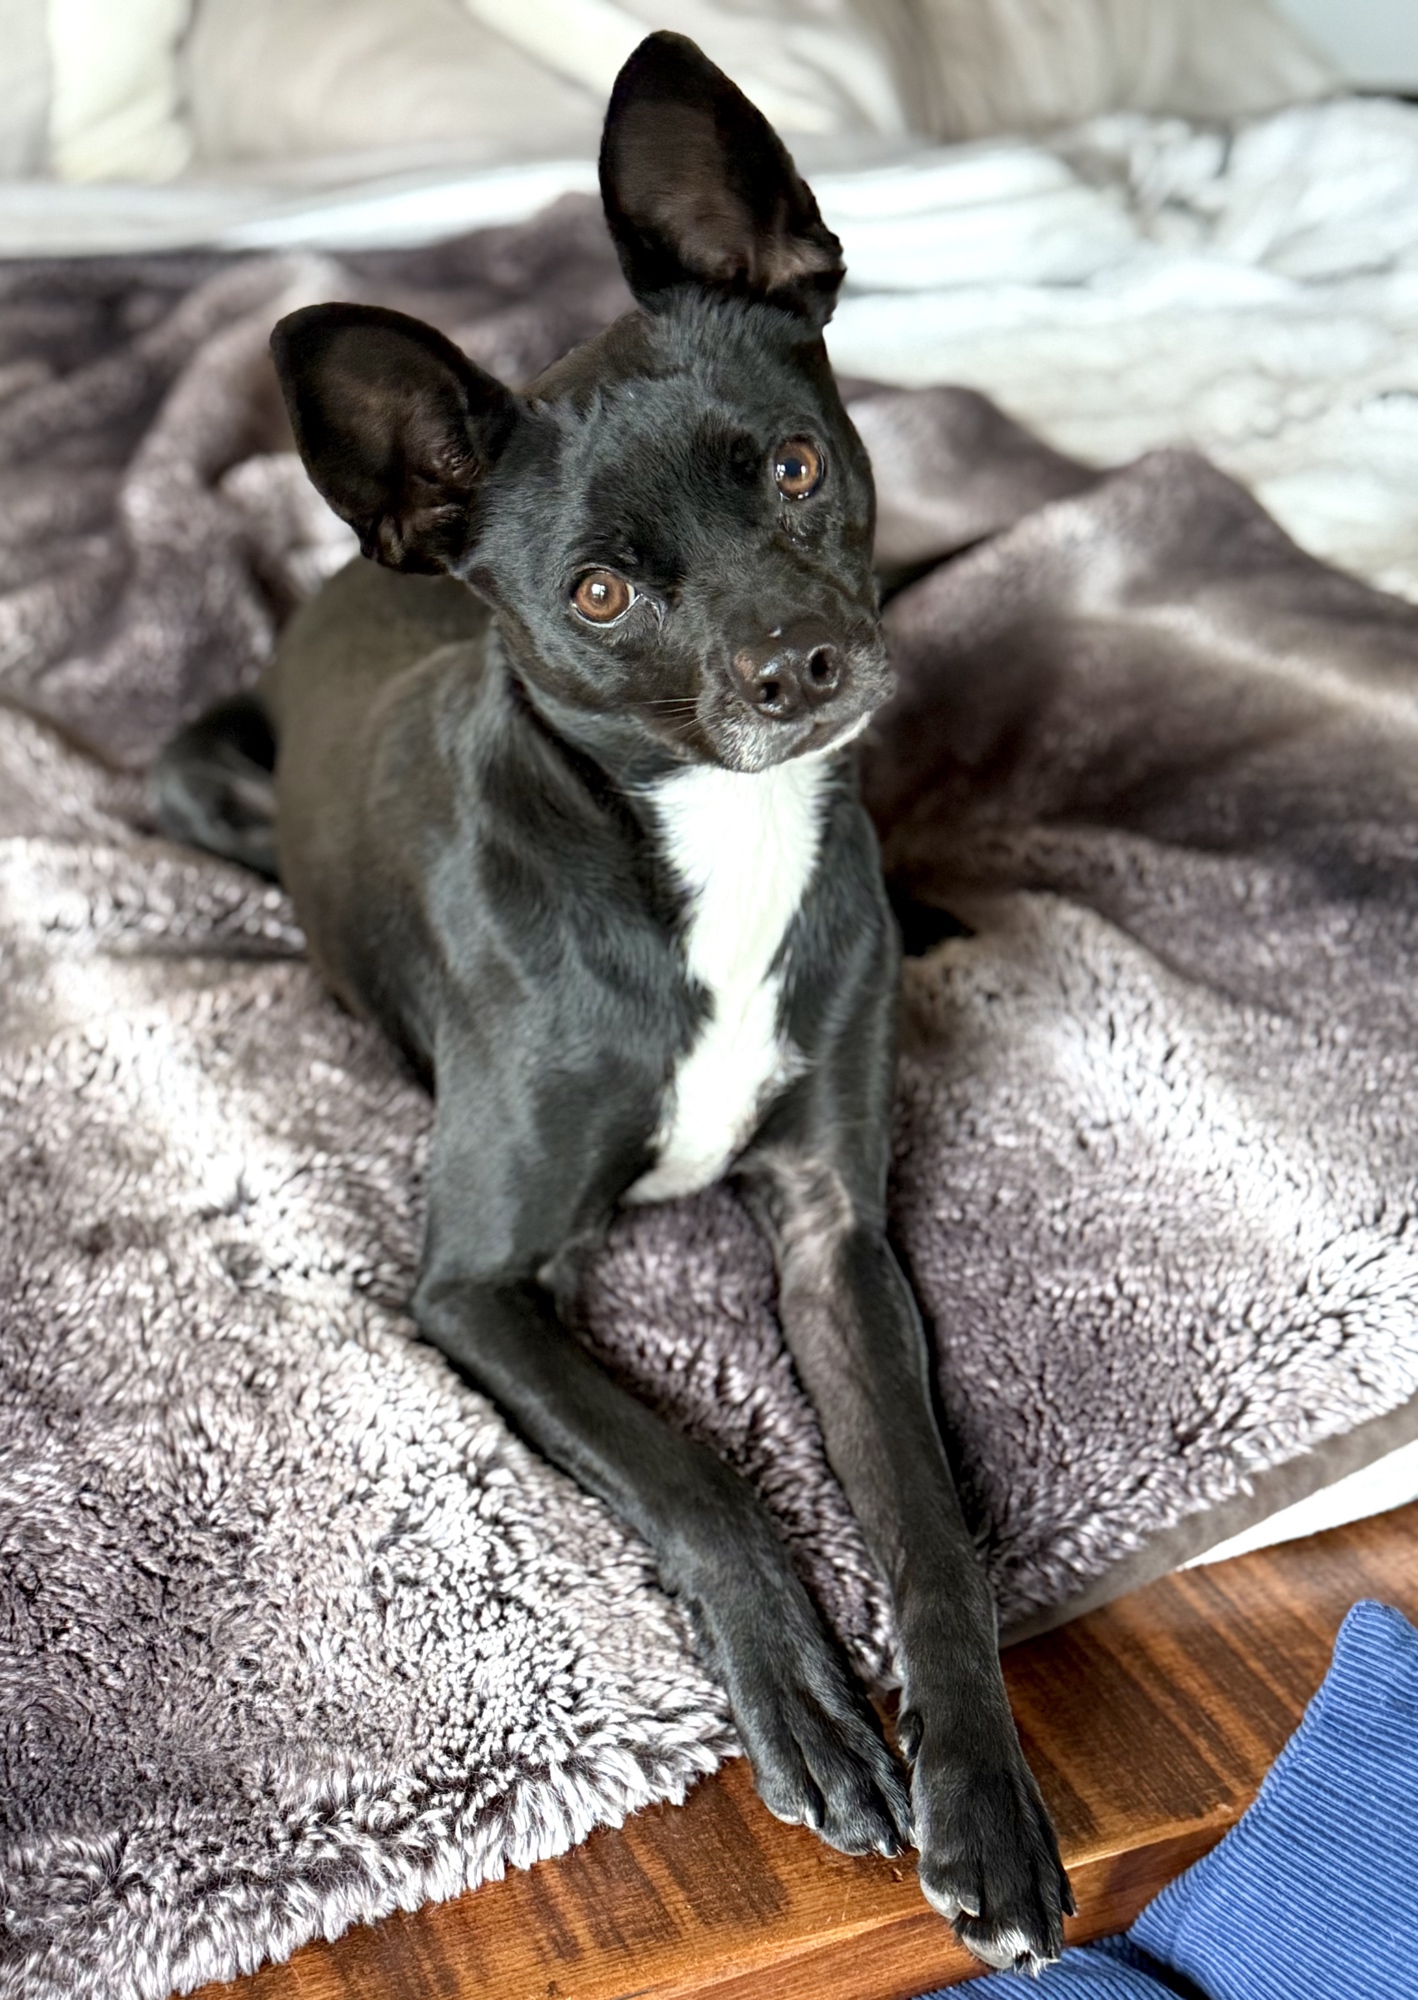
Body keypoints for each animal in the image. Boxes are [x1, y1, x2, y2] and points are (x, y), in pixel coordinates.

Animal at [152, 32, 1070, 1972]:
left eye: (793, 466)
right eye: (595, 592)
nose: (796, 668)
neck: (711, 849)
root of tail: (359, 562)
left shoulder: (832, 1236)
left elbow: (928, 1535)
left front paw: (981, 1794)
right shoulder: (473, 1291)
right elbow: (687, 1471)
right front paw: (803, 1702)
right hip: (204, 780)